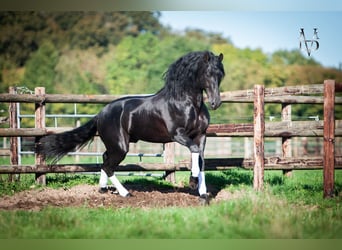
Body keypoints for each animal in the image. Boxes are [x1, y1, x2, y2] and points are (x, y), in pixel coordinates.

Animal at [36, 51, 224, 203]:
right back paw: (125, 193)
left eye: (221, 74)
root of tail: (100, 114)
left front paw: (203, 194)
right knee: (108, 166)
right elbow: (195, 152)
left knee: (105, 160)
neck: (186, 103)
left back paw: (102, 189)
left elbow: (201, 160)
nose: (216, 103)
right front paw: (193, 182)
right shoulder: (177, 134)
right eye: (208, 73)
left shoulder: (201, 135)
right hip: (120, 146)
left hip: (114, 145)